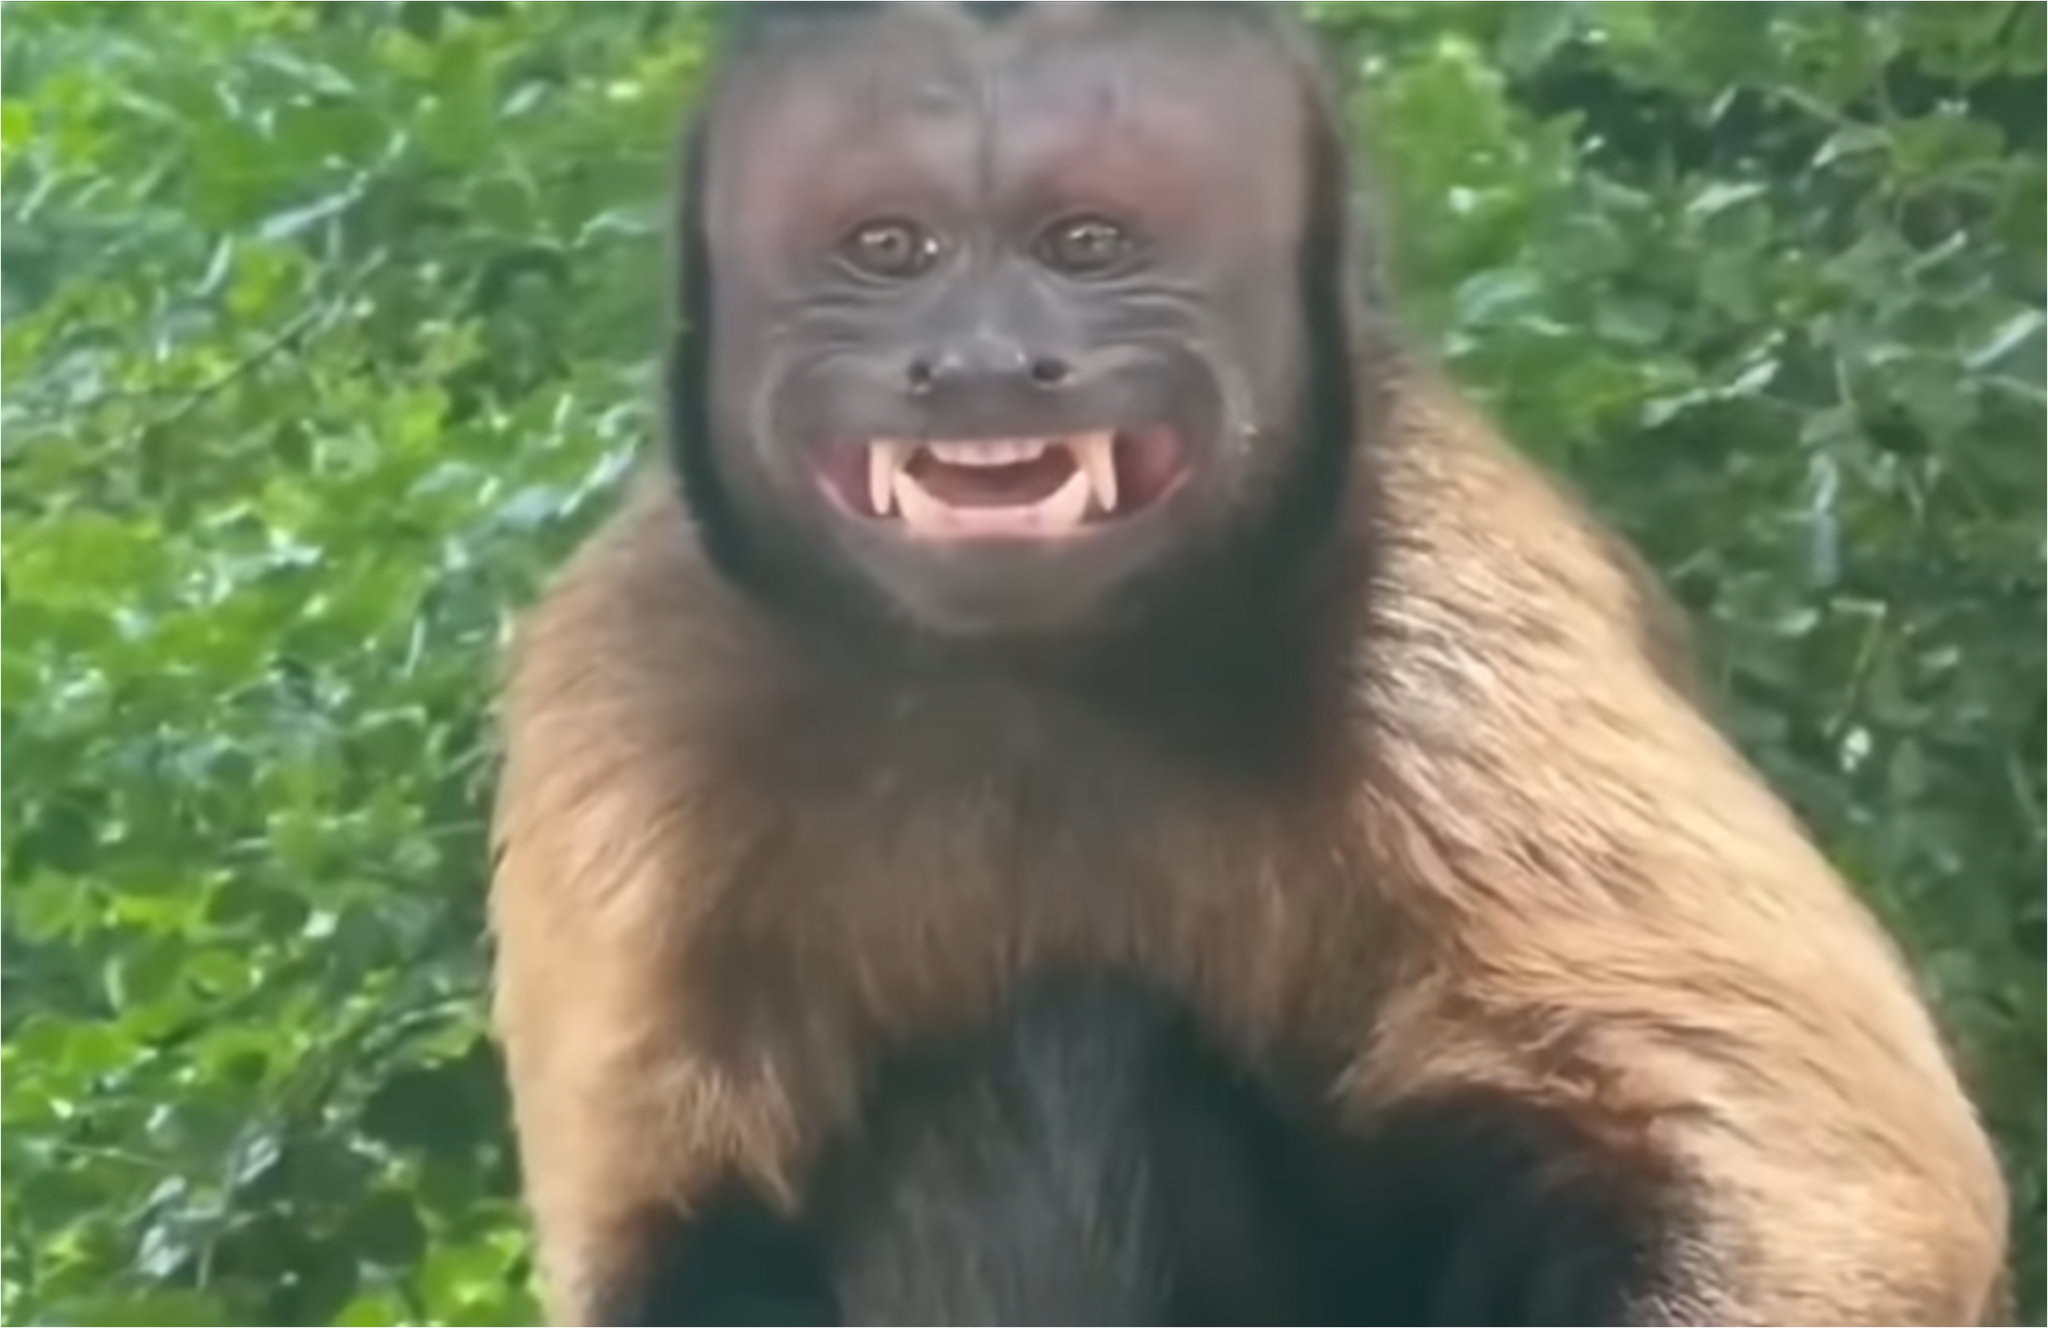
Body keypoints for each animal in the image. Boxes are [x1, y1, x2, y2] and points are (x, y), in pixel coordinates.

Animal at [486, 2, 2012, 1326]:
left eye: (1086, 242)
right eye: (890, 248)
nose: (980, 363)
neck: (1033, 678)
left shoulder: (1436, 588)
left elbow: (1824, 1182)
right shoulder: (631, 668)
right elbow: (667, 1244)